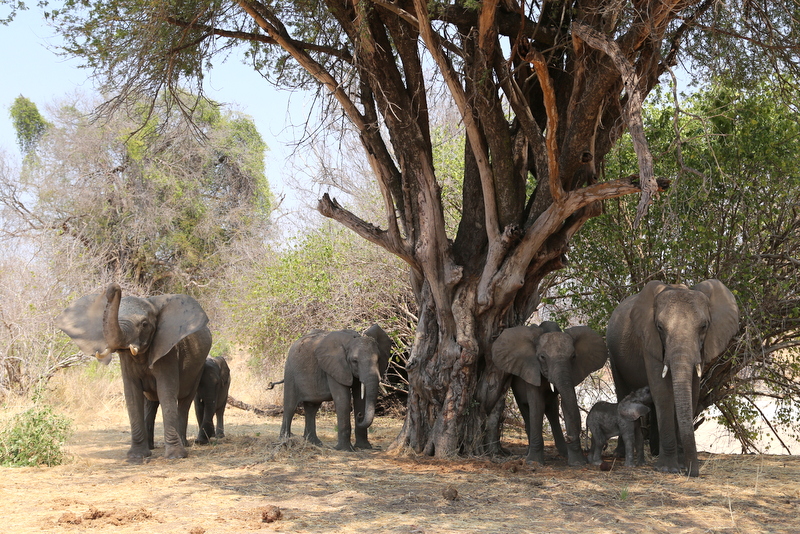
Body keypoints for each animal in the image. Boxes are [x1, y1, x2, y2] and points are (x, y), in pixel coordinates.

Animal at [57, 283, 212, 461]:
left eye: (144, 324)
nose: (114, 287)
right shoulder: (127, 360)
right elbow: (132, 394)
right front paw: (137, 457)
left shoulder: (168, 351)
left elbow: (166, 391)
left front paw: (175, 456)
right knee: (150, 403)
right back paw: (151, 447)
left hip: (198, 367)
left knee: (184, 401)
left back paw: (183, 445)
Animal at [491, 323, 609, 466]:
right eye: (542, 357)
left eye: (573, 356)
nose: (569, 437)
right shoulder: (531, 371)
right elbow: (537, 405)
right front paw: (533, 462)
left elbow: (567, 403)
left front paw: (578, 463)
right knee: (526, 410)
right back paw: (527, 454)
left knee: (552, 411)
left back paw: (563, 453)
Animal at [606, 279, 739, 477]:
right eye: (660, 327)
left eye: (704, 326)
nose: (692, 472)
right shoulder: (649, 340)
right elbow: (662, 391)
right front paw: (668, 469)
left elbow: (692, 391)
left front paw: (681, 464)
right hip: (613, 355)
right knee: (622, 391)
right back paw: (621, 455)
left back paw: (655, 452)